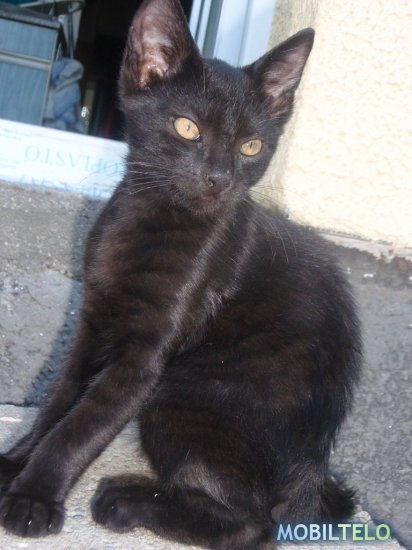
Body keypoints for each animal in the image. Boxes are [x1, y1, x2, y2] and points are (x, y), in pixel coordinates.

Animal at [0, 0, 361, 547]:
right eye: (187, 128)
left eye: (252, 146)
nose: (219, 179)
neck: (152, 218)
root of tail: (311, 473)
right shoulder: (91, 321)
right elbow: (60, 400)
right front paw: (16, 463)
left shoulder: (145, 359)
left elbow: (83, 424)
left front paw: (34, 498)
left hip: (184, 390)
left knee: (253, 525)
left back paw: (128, 503)